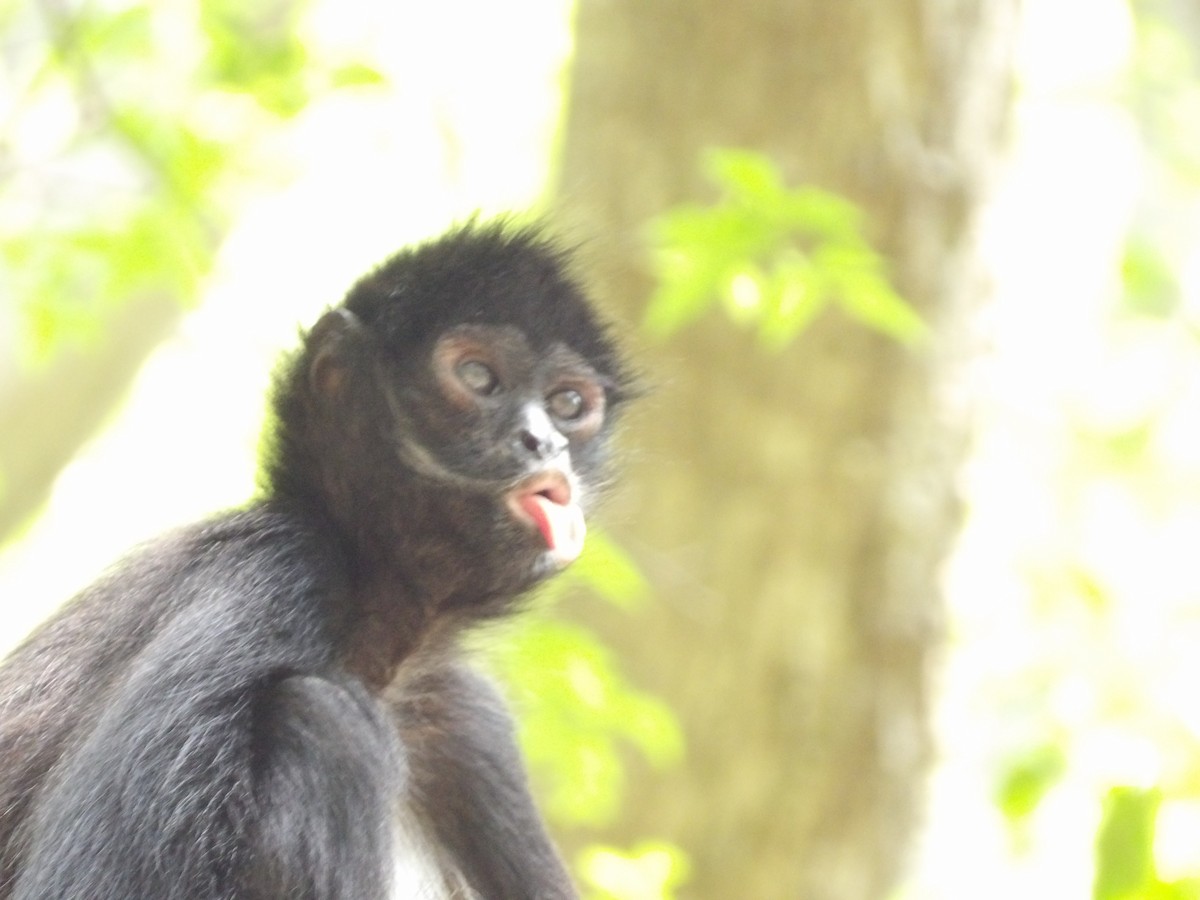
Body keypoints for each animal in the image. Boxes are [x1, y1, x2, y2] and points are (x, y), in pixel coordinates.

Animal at [0, 222, 632, 899]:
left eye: (568, 405)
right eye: (477, 376)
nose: (544, 443)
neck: (379, 655)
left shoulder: (465, 719)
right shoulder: (266, 573)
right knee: (325, 718)